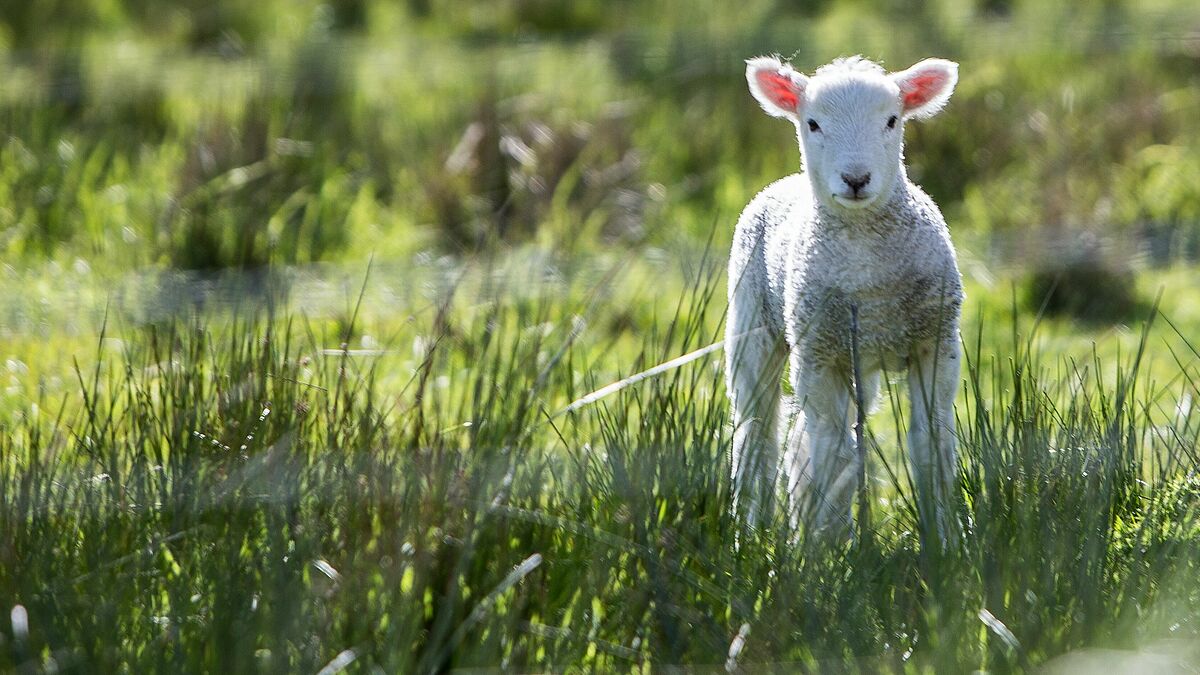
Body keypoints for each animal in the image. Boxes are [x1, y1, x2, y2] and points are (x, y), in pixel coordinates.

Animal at [720, 53, 964, 535]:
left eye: (892, 120)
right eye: (812, 123)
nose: (856, 179)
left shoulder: (936, 342)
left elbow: (931, 443)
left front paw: (944, 539)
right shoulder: (818, 354)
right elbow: (833, 455)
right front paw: (826, 547)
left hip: (857, 360)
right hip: (753, 324)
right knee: (757, 432)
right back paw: (752, 531)